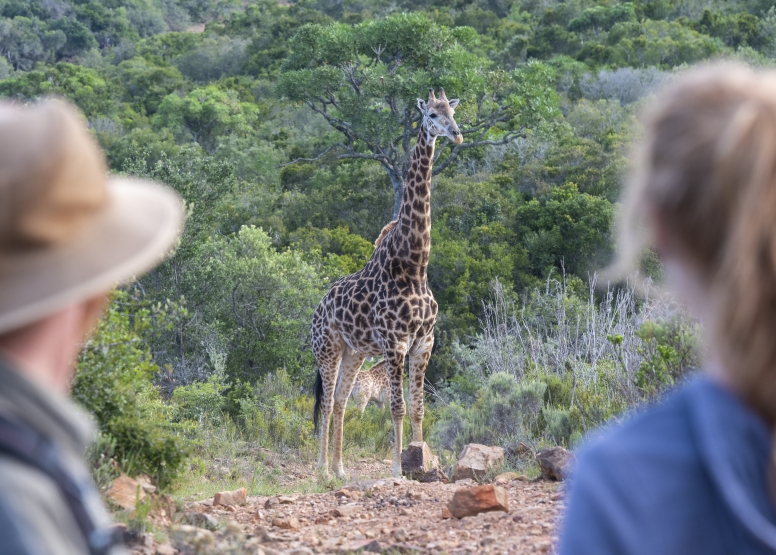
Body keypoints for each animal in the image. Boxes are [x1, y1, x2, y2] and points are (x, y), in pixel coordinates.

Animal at [314, 87, 464, 478]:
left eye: (453, 112)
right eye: (431, 115)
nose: (457, 134)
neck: (414, 266)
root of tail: (318, 308)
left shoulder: (424, 342)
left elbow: (418, 408)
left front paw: (420, 460)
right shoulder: (396, 344)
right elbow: (397, 407)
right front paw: (398, 468)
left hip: (354, 351)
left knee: (340, 401)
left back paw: (340, 469)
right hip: (327, 347)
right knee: (325, 403)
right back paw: (320, 469)